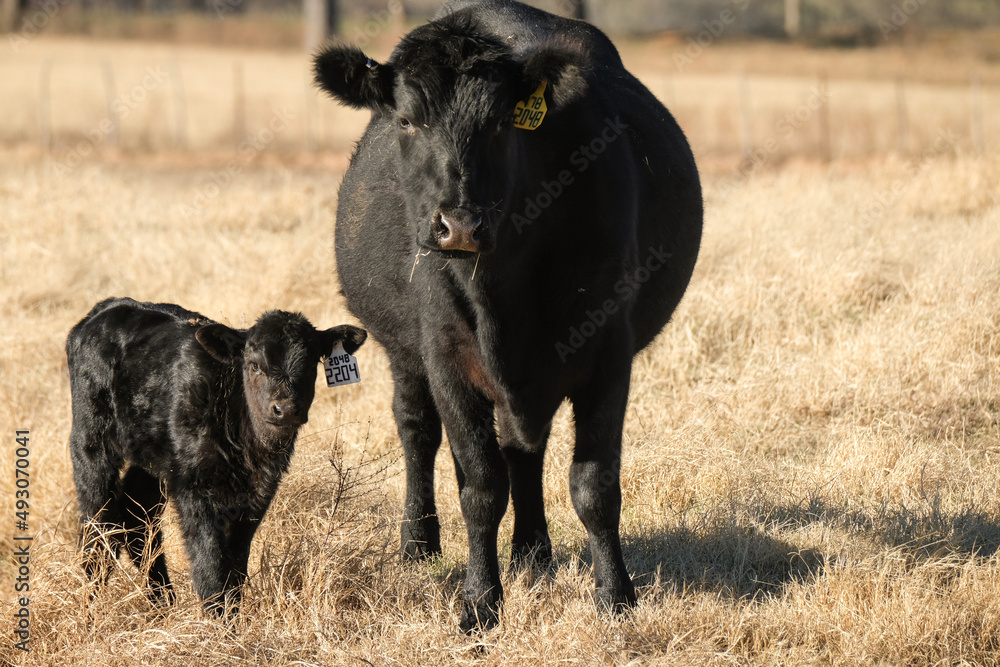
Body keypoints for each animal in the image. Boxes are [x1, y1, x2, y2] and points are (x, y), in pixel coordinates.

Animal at [66, 297, 366, 615]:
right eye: (254, 365)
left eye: (311, 366)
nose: (285, 409)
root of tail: (108, 307)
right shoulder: (193, 487)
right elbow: (210, 561)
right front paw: (218, 620)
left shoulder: (259, 492)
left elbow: (236, 561)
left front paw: (233, 616)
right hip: (90, 443)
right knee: (98, 524)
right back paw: (91, 605)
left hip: (151, 458)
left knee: (137, 516)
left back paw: (164, 605)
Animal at [314, 0, 702, 631]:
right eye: (406, 121)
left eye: (501, 123)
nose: (460, 225)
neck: (502, 294)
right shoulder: (447, 358)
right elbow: (479, 487)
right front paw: (479, 602)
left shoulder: (608, 353)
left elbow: (594, 485)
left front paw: (615, 595)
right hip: (405, 354)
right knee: (418, 432)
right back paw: (419, 544)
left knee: (525, 449)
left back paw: (533, 554)